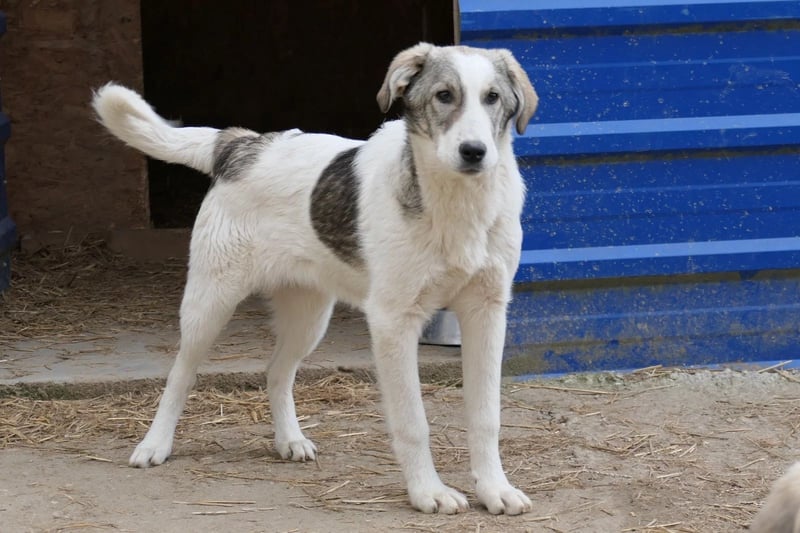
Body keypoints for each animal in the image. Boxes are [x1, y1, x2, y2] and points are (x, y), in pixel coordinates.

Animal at [92, 42, 538, 515]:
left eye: (492, 98)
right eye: (444, 96)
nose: (474, 151)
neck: (458, 204)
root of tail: (245, 143)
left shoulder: (487, 313)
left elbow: (486, 416)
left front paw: (494, 489)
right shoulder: (394, 321)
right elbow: (413, 421)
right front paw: (427, 492)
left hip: (308, 317)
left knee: (276, 371)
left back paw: (289, 440)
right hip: (209, 303)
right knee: (180, 373)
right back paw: (154, 444)